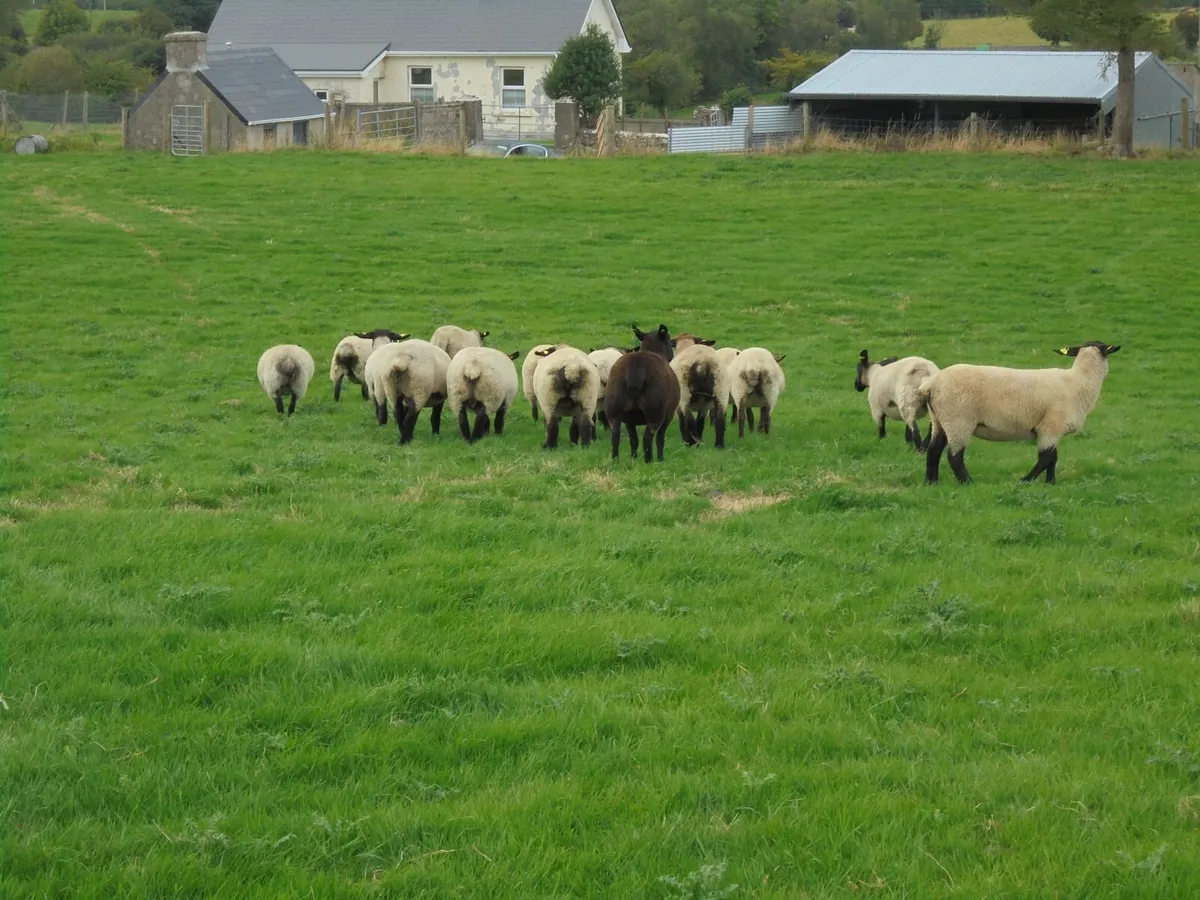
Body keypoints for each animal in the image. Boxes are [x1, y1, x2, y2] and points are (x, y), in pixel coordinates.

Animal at [604, 324, 681, 464]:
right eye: (668, 339)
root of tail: (636, 367)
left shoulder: (629, 421)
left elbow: (633, 440)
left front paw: (633, 459)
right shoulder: (668, 415)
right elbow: (660, 439)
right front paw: (661, 459)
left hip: (615, 410)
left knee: (616, 437)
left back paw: (616, 461)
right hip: (654, 411)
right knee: (647, 438)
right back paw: (649, 461)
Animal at [919, 342, 1120, 485]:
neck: (1078, 382)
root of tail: (931, 384)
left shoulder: (1052, 429)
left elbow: (1053, 458)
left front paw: (1050, 483)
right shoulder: (1050, 426)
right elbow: (1046, 458)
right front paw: (1026, 480)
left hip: (939, 420)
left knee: (934, 450)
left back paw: (931, 482)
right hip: (959, 420)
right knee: (955, 456)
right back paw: (968, 483)